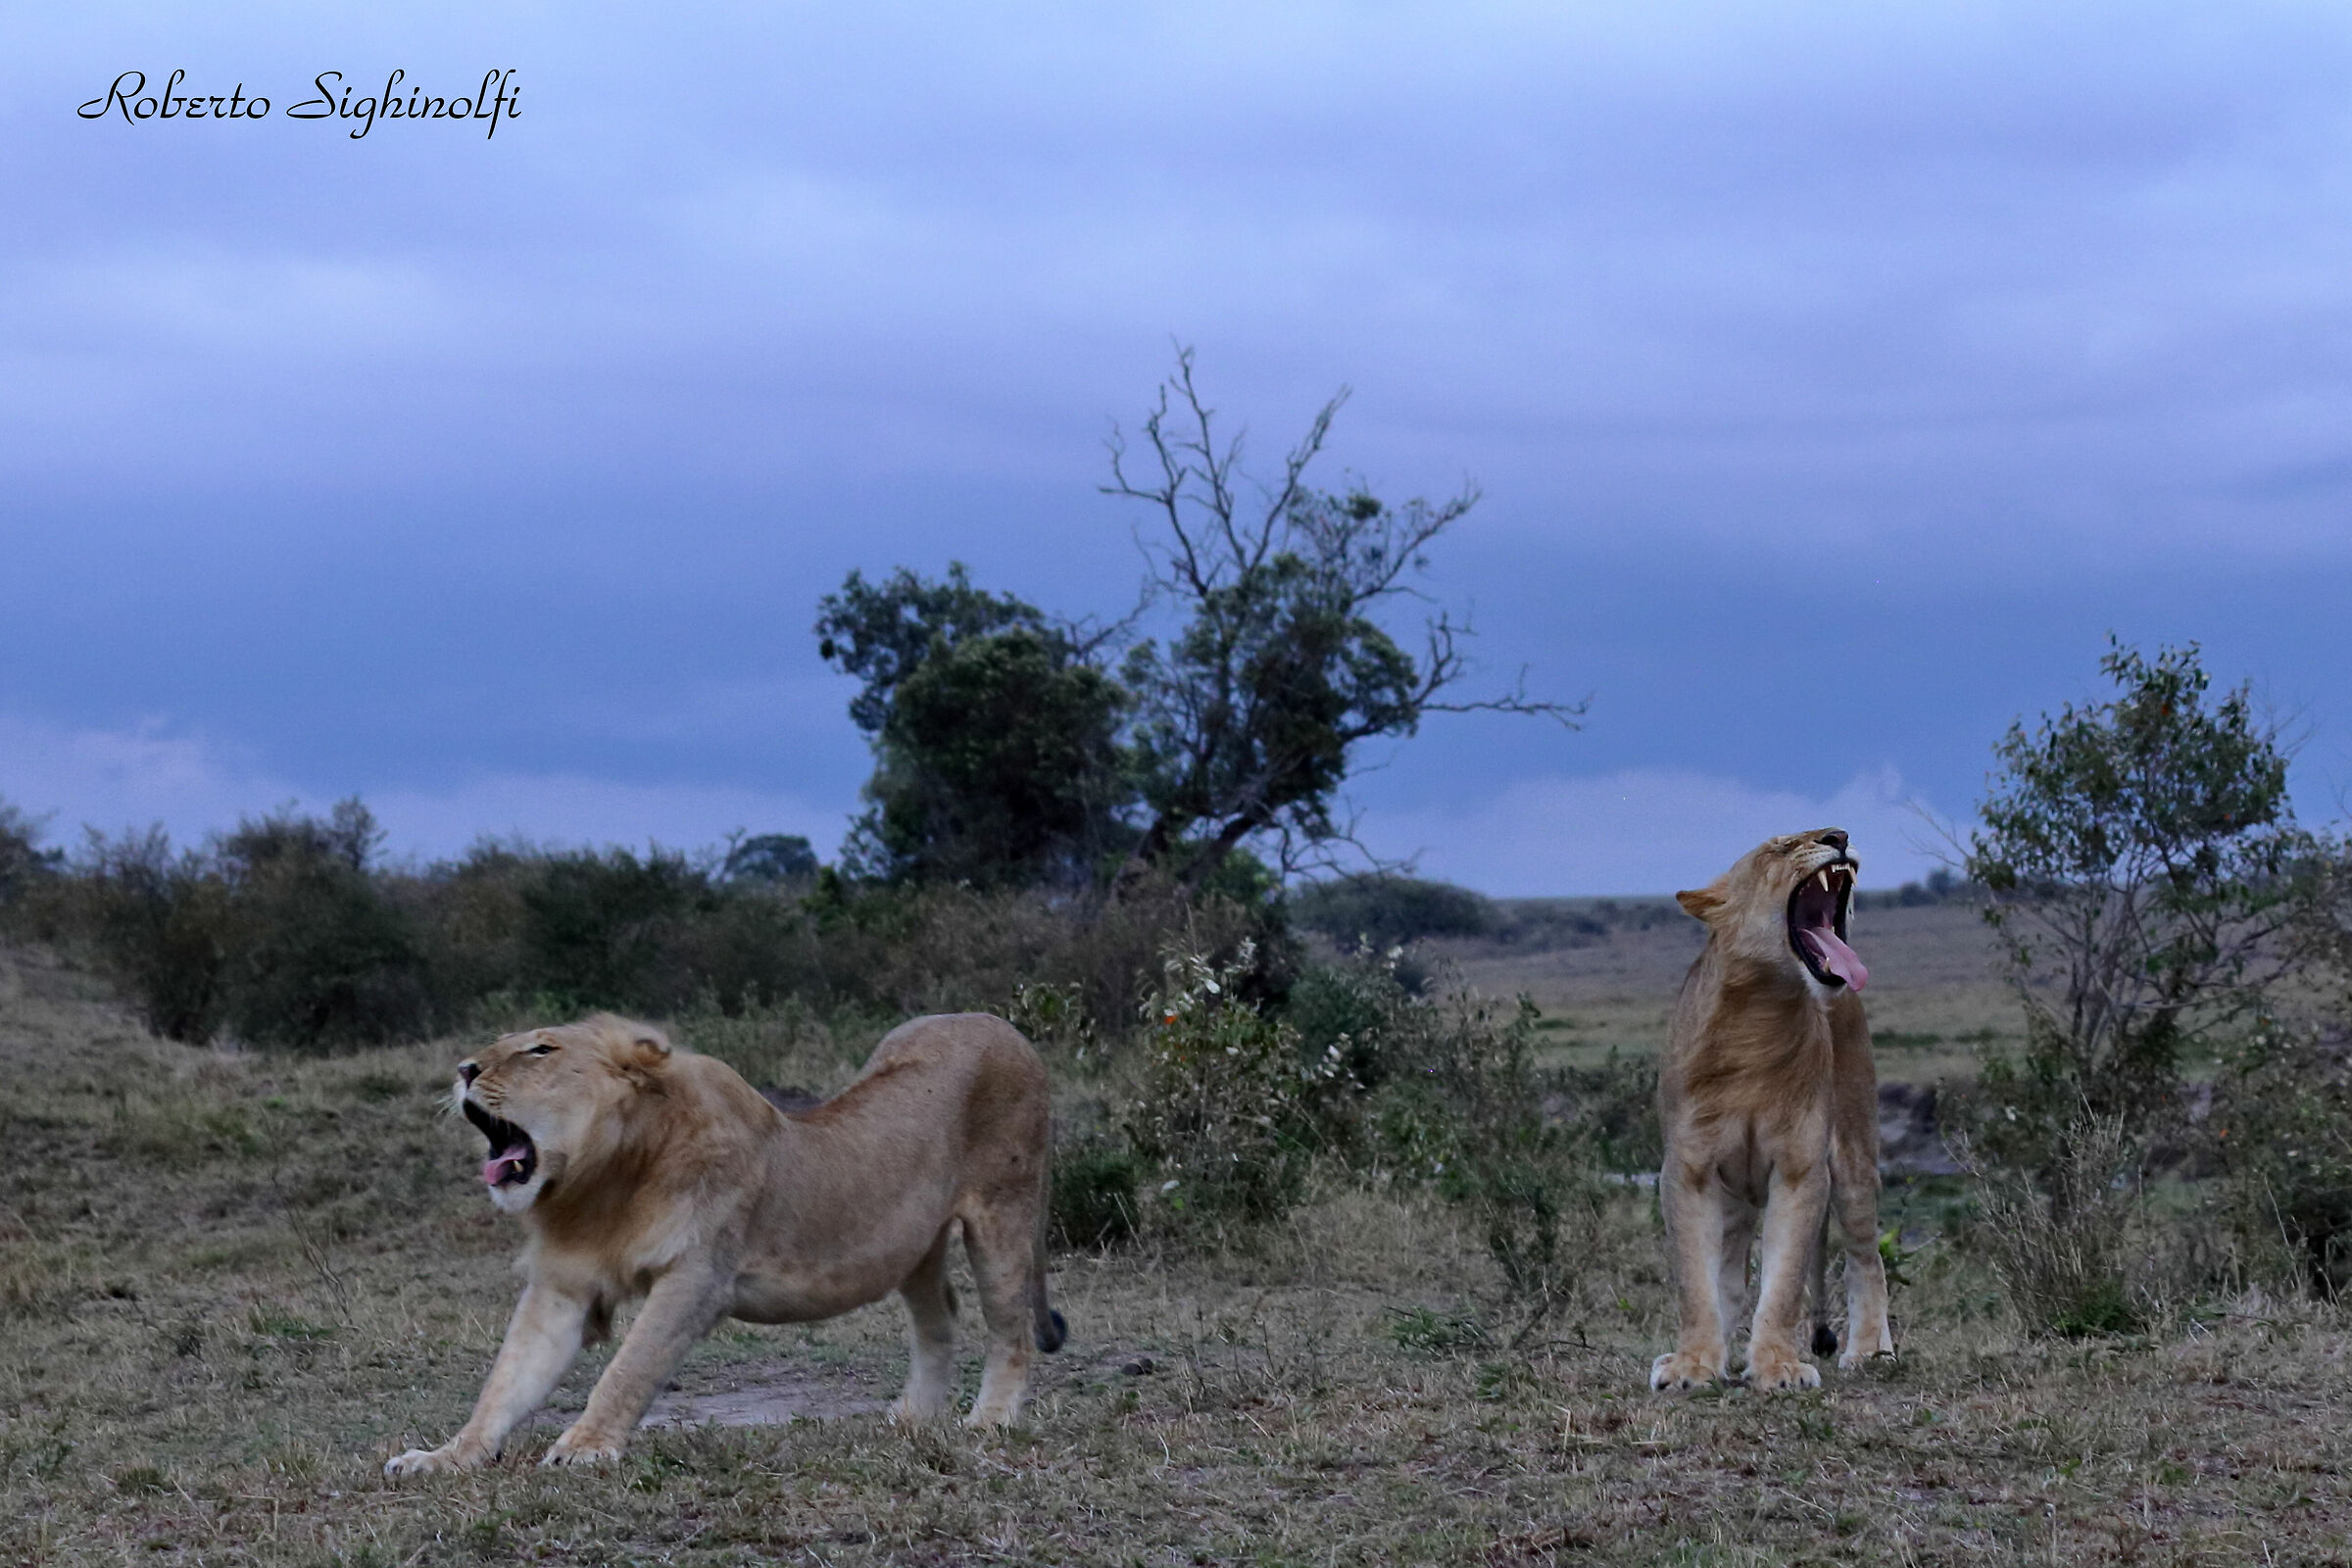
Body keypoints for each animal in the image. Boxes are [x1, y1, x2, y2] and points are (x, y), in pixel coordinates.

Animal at [385, 1012, 1066, 1474]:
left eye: (541, 1049)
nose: (464, 1070)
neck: (600, 1185)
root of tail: (998, 1023)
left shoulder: (698, 1275)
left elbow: (630, 1367)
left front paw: (584, 1447)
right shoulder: (562, 1284)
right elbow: (507, 1380)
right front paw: (446, 1456)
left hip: (1005, 1209)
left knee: (1010, 1328)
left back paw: (990, 1420)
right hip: (912, 1242)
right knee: (940, 1316)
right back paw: (912, 1419)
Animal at [1648, 827, 1893, 1393]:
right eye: (1779, 848)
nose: (1839, 835)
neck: (1760, 1017)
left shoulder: (1801, 1169)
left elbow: (1783, 1281)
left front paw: (1777, 1367)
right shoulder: (1688, 1170)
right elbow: (1696, 1279)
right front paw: (1692, 1364)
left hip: (1853, 1160)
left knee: (1866, 1257)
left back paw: (1871, 1351)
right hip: (1734, 1198)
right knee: (1728, 1273)